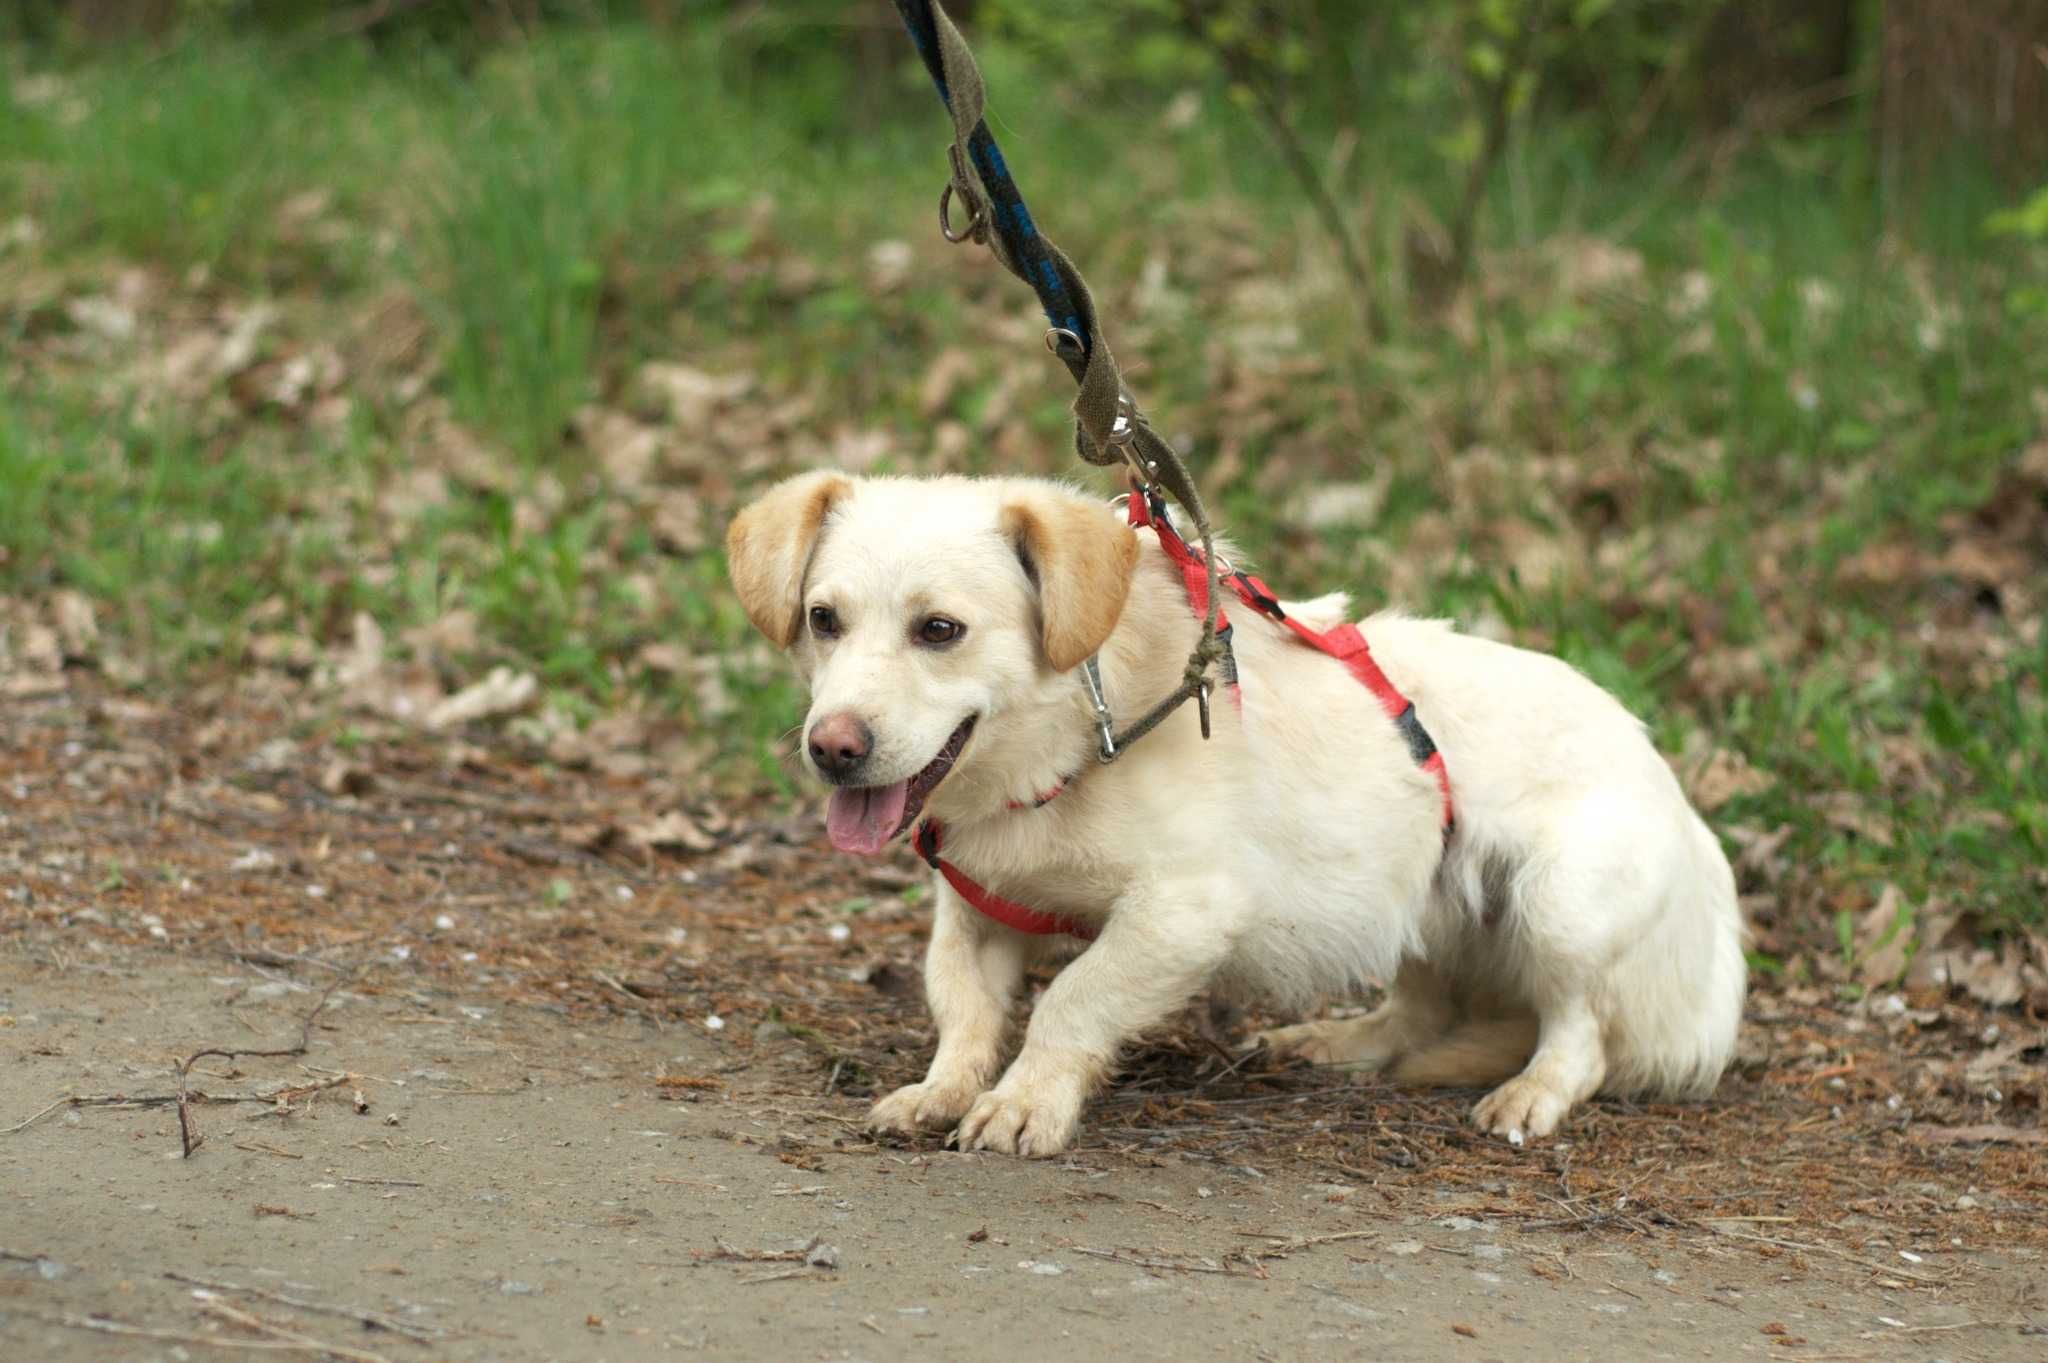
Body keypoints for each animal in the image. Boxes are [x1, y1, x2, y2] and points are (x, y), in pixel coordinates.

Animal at [724, 472, 1744, 1154]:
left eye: (940, 629)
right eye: (822, 619)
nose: (833, 747)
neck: (1071, 747)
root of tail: (1678, 792)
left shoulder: (1181, 915)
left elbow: (1072, 998)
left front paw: (1025, 1103)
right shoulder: (974, 910)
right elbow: (964, 1009)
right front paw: (943, 1090)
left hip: (1556, 906)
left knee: (1582, 1034)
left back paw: (1531, 1093)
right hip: (1423, 900)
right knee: (1425, 1007)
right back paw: (1340, 1042)